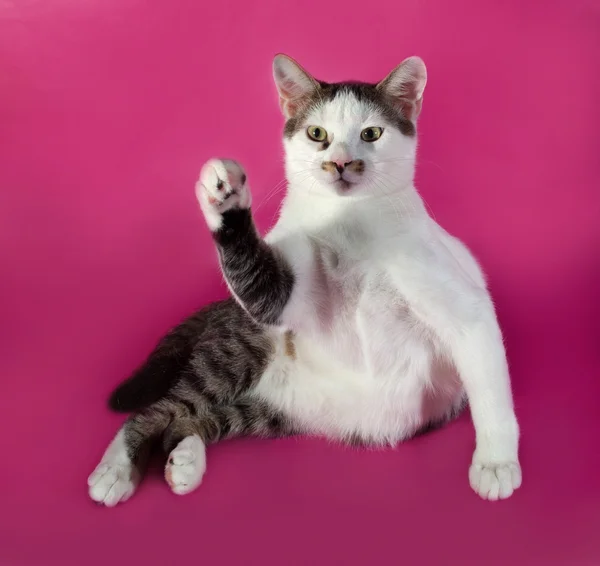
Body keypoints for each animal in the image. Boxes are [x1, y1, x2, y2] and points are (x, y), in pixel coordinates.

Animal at [88, 54, 520, 506]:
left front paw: (495, 464)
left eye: (371, 133)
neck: (348, 222)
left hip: (271, 413)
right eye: (317, 134)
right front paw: (224, 198)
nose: (341, 162)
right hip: (237, 349)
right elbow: (262, 285)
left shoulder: (464, 305)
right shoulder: (282, 297)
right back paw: (117, 470)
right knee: (160, 410)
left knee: (193, 420)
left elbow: (490, 387)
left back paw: (185, 461)